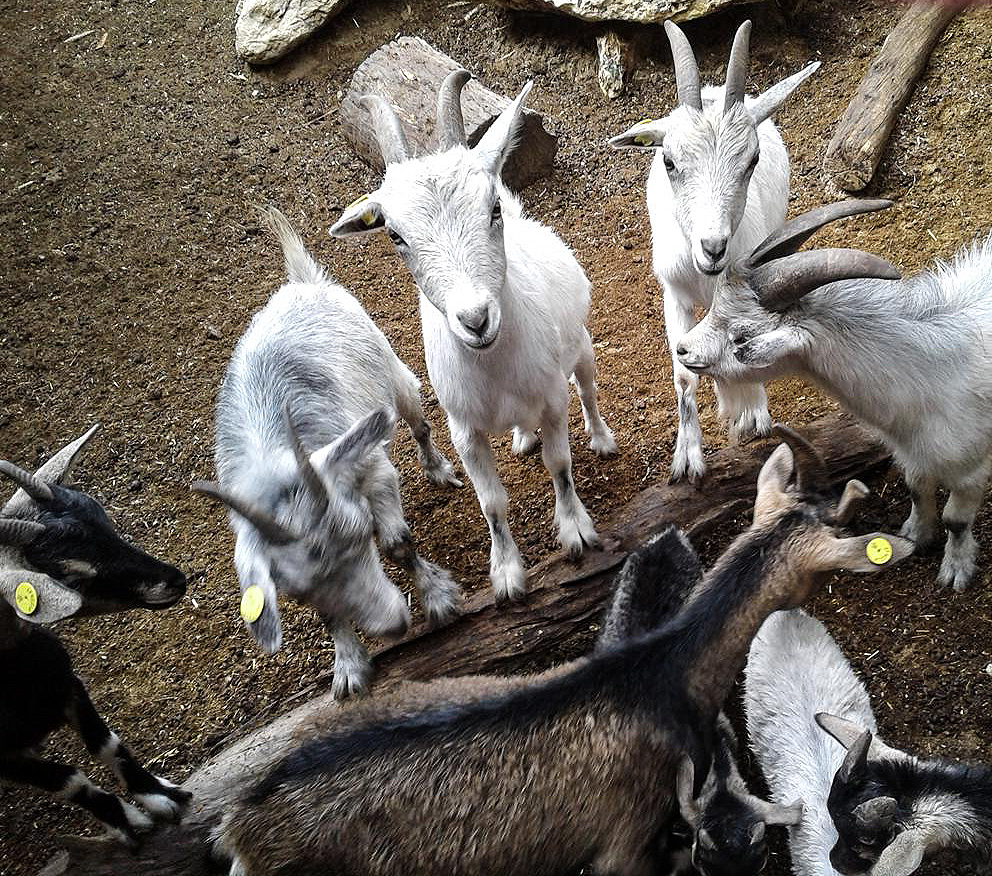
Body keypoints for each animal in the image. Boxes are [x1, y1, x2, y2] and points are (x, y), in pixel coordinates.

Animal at [0, 426, 191, 847]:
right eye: (70, 577)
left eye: (103, 520)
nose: (175, 580)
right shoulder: (1, 758)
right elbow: (68, 781)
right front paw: (127, 822)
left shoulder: (67, 684)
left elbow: (106, 743)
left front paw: (161, 795)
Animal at [193, 207, 462, 699]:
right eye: (297, 590)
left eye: (361, 537)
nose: (395, 625)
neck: (272, 455)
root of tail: (302, 282)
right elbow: (326, 614)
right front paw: (349, 665)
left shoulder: (372, 469)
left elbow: (397, 542)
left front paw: (438, 598)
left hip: (391, 370)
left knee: (418, 419)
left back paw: (437, 467)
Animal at [330, 71, 616, 602]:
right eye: (395, 236)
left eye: (493, 207)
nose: (476, 319)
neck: (494, 368)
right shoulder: (463, 430)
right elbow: (491, 502)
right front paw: (506, 573)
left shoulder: (552, 400)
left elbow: (560, 465)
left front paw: (576, 532)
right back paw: (522, 438)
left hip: (582, 346)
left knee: (587, 390)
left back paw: (601, 438)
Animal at [609, 20, 819, 483]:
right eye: (669, 161)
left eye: (752, 160)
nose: (713, 248)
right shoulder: (674, 295)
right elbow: (684, 374)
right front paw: (687, 460)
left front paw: (751, 414)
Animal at [676, 196, 992, 591]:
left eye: (741, 336)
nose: (682, 349)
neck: (934, 369)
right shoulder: (912, 453)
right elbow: (917, 490)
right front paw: (915, 536)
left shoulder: (971, 467)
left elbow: (956, 520)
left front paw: (956, 570)